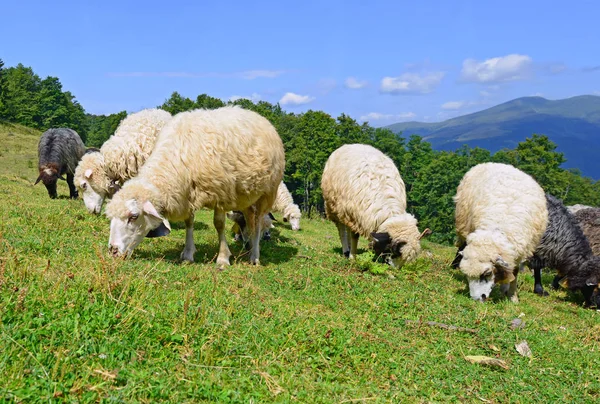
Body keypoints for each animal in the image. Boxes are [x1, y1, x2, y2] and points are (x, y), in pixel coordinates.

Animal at [103, 105, 286, 266]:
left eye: (133, 217)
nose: (113, 251)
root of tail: (257, 115)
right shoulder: (187, 193)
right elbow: (189, 222)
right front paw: (188, 254)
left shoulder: (221, 193)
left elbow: (219, 224)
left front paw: (223, 258)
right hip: (246, 196)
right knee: (250, 220)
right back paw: (248, 249)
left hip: (267, 193)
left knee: (259, 221)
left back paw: (254, 256)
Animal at [454, 163, 548, 302]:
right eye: (466, 275)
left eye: (487, 273)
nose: (477, 299)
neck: (498, 228)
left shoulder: (518, 252)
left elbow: (513, 273)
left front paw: (512, 296)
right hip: (464, 221)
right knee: (462, 244)